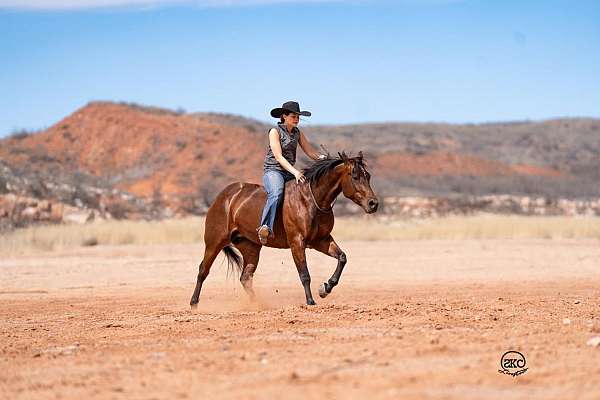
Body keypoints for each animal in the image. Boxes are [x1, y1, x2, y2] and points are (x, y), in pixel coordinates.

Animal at [190, 150, 378, 306]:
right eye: (355, 176)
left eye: (368, 176)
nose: (373, 204)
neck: (310, 199)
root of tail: (225, 196)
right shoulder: (297, 242)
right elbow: (304, 274)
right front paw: (310, 301)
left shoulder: (321, 240)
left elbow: (342, 258)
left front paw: (325, 288)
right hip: (215, 242)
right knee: (203, 270)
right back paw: (194, 303)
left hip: (251, 248)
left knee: (245, 277)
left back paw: (258, 305)